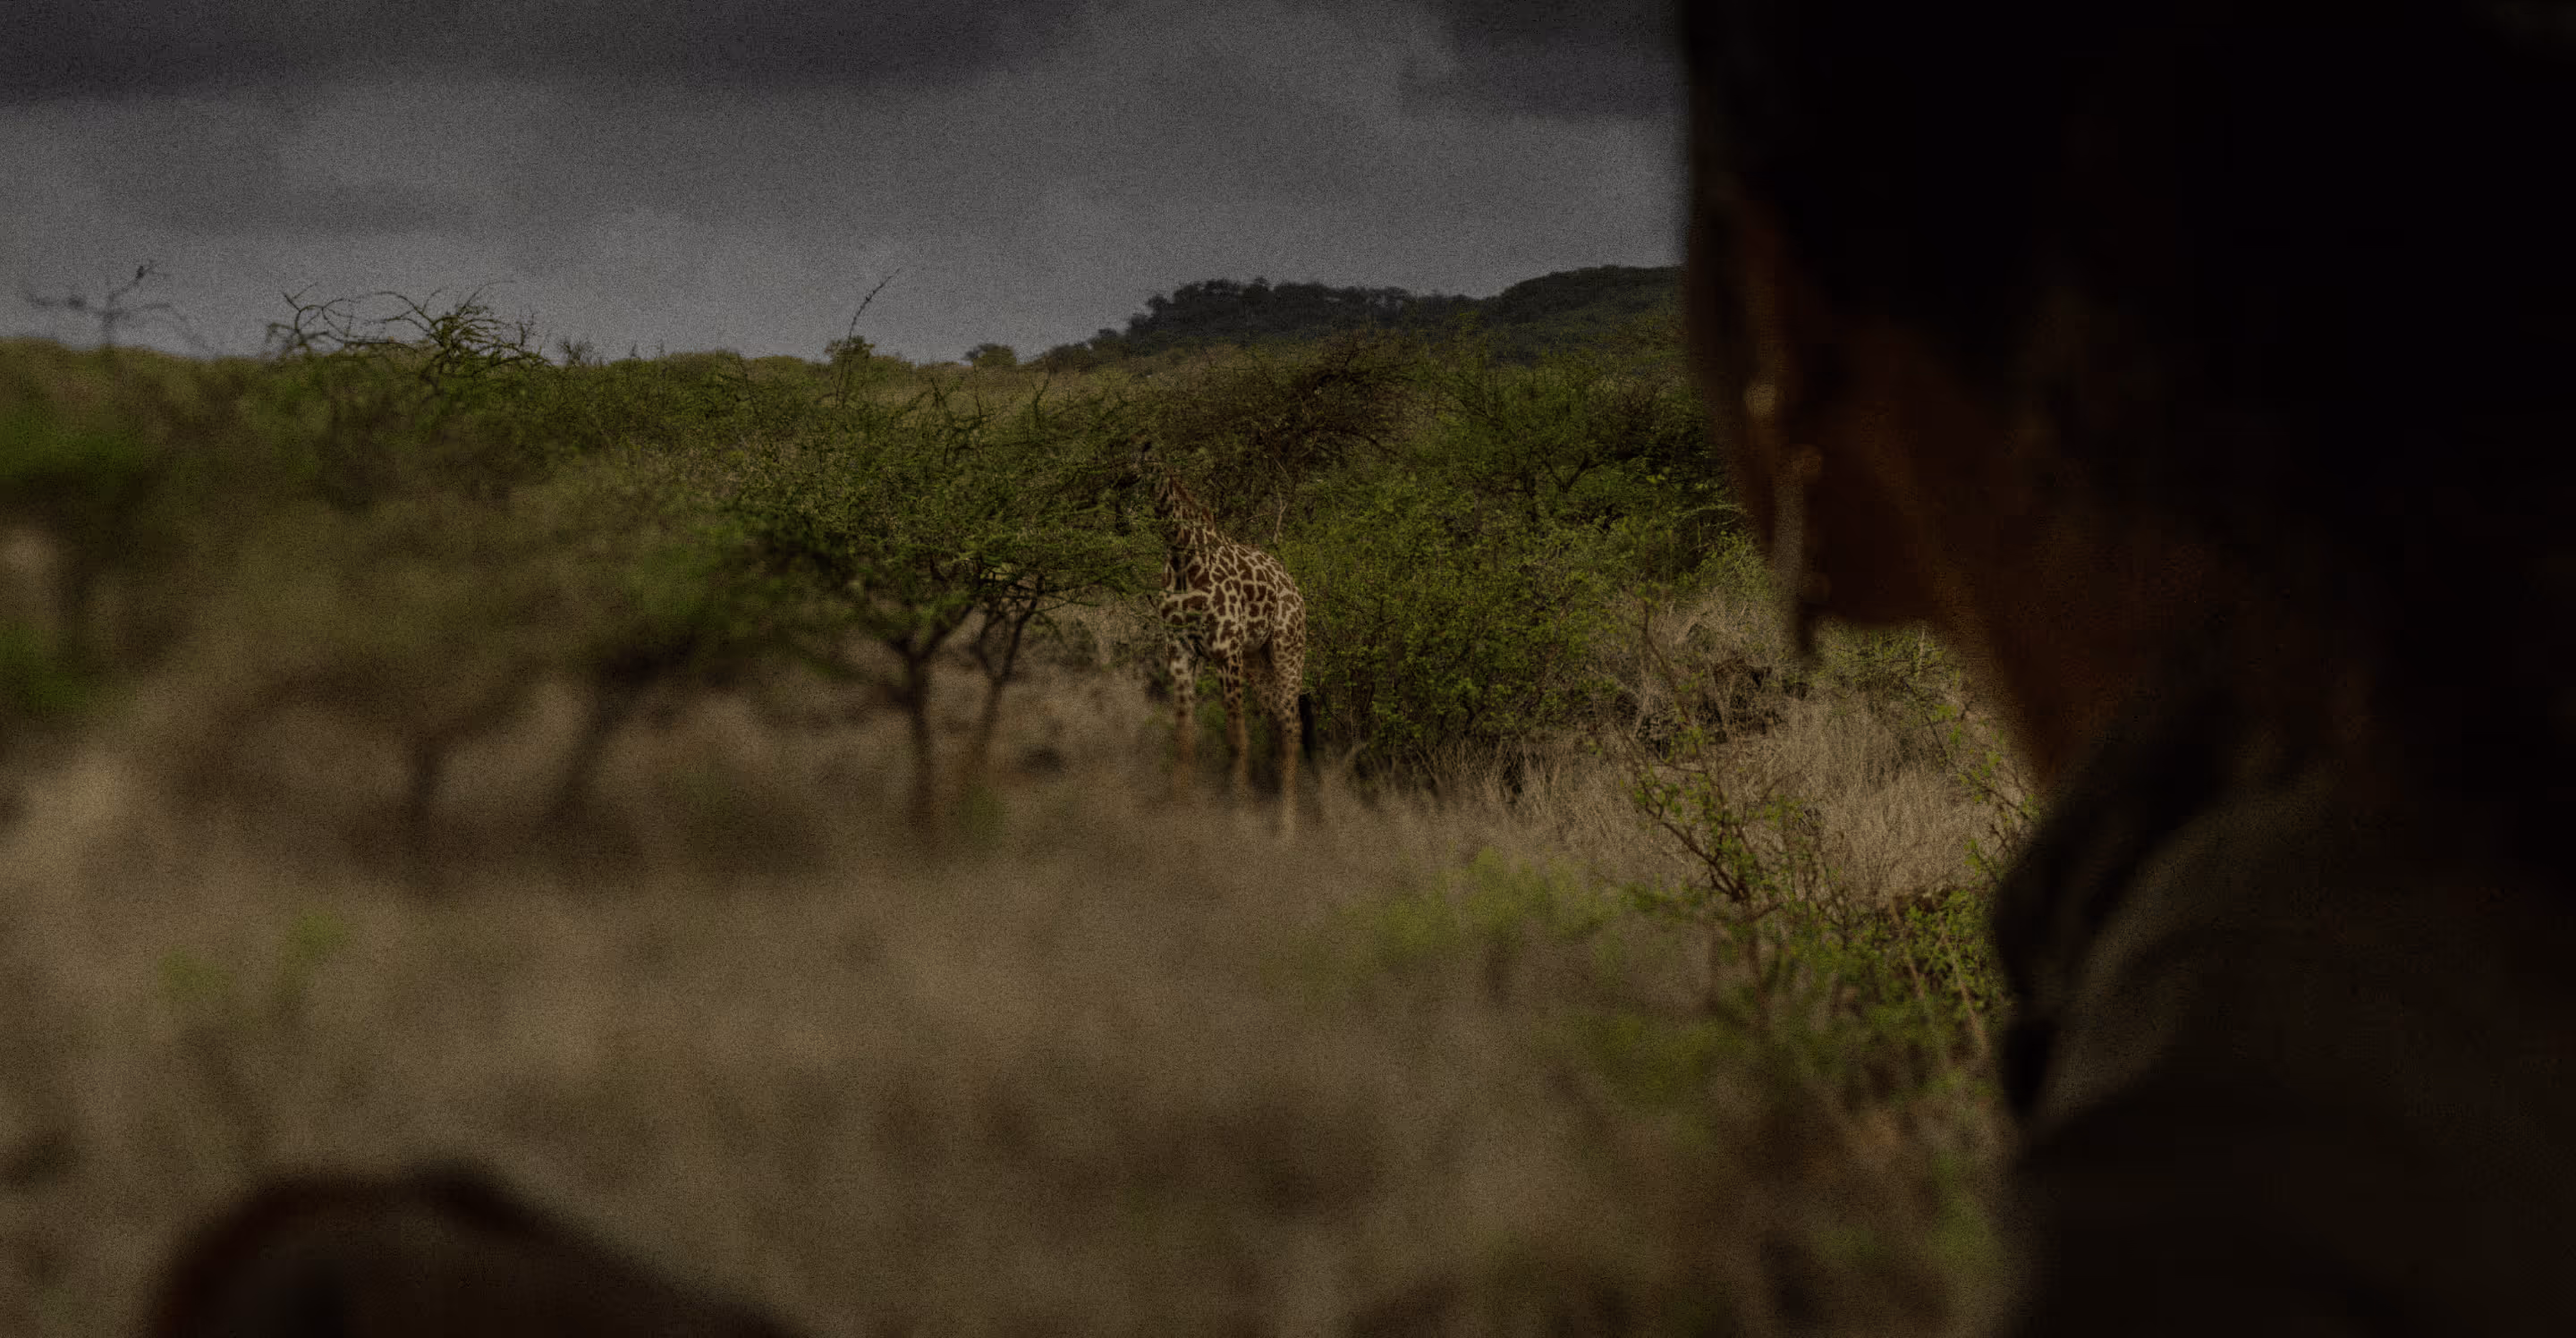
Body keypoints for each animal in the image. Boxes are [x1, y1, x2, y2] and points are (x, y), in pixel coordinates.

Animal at [1135, 439, 1309, 836]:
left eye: (1139, 466)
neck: (1183, 556)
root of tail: (1293, 586)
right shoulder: (1179, 649)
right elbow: (1184, 734)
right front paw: (1180, 813)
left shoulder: (1225, 650)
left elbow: (1236, 734)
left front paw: (1239, 816)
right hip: (1257, 660)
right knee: (1277, 723)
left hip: (1288, 652)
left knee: (1293, 727)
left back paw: (1288, 827)